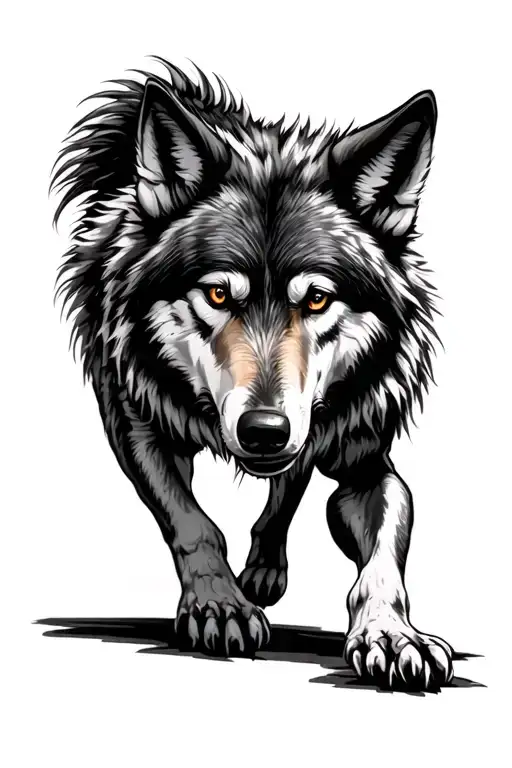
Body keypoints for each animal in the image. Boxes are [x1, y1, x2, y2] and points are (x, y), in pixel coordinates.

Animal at [52, 57, 453, 691]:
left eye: (316, 299)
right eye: (218, 294)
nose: (263, 430)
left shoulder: (365, 462)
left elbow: (383, 560)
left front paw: (392, 634)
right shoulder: (137, 423)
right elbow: (192, 522)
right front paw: (220, 604)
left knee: (290, 485)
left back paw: (266, 568)